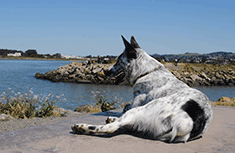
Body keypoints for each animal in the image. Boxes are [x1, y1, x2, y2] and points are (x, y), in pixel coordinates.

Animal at [71, 35, 213, 143]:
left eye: (118, 61)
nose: (105, 71)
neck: (146, 72)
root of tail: (190, 122)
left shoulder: (137, 99)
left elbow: (125, 109)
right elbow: (124, 108)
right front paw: (114, 115)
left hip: (141, 110)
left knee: (112, 126)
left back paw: (81, 127)